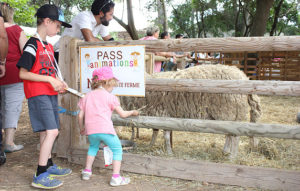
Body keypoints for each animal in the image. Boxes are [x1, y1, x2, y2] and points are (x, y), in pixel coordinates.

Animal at [120, 64, 262, 158]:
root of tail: (244, 77)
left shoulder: (162, 113)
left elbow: (165, 135)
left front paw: (169, 152)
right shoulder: (160, 115)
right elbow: (156, 132)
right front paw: (151, 145)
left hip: (230, 112)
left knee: (235, 136)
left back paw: (232, 156)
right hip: (229, 115)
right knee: (229, 134)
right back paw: (225, 150)